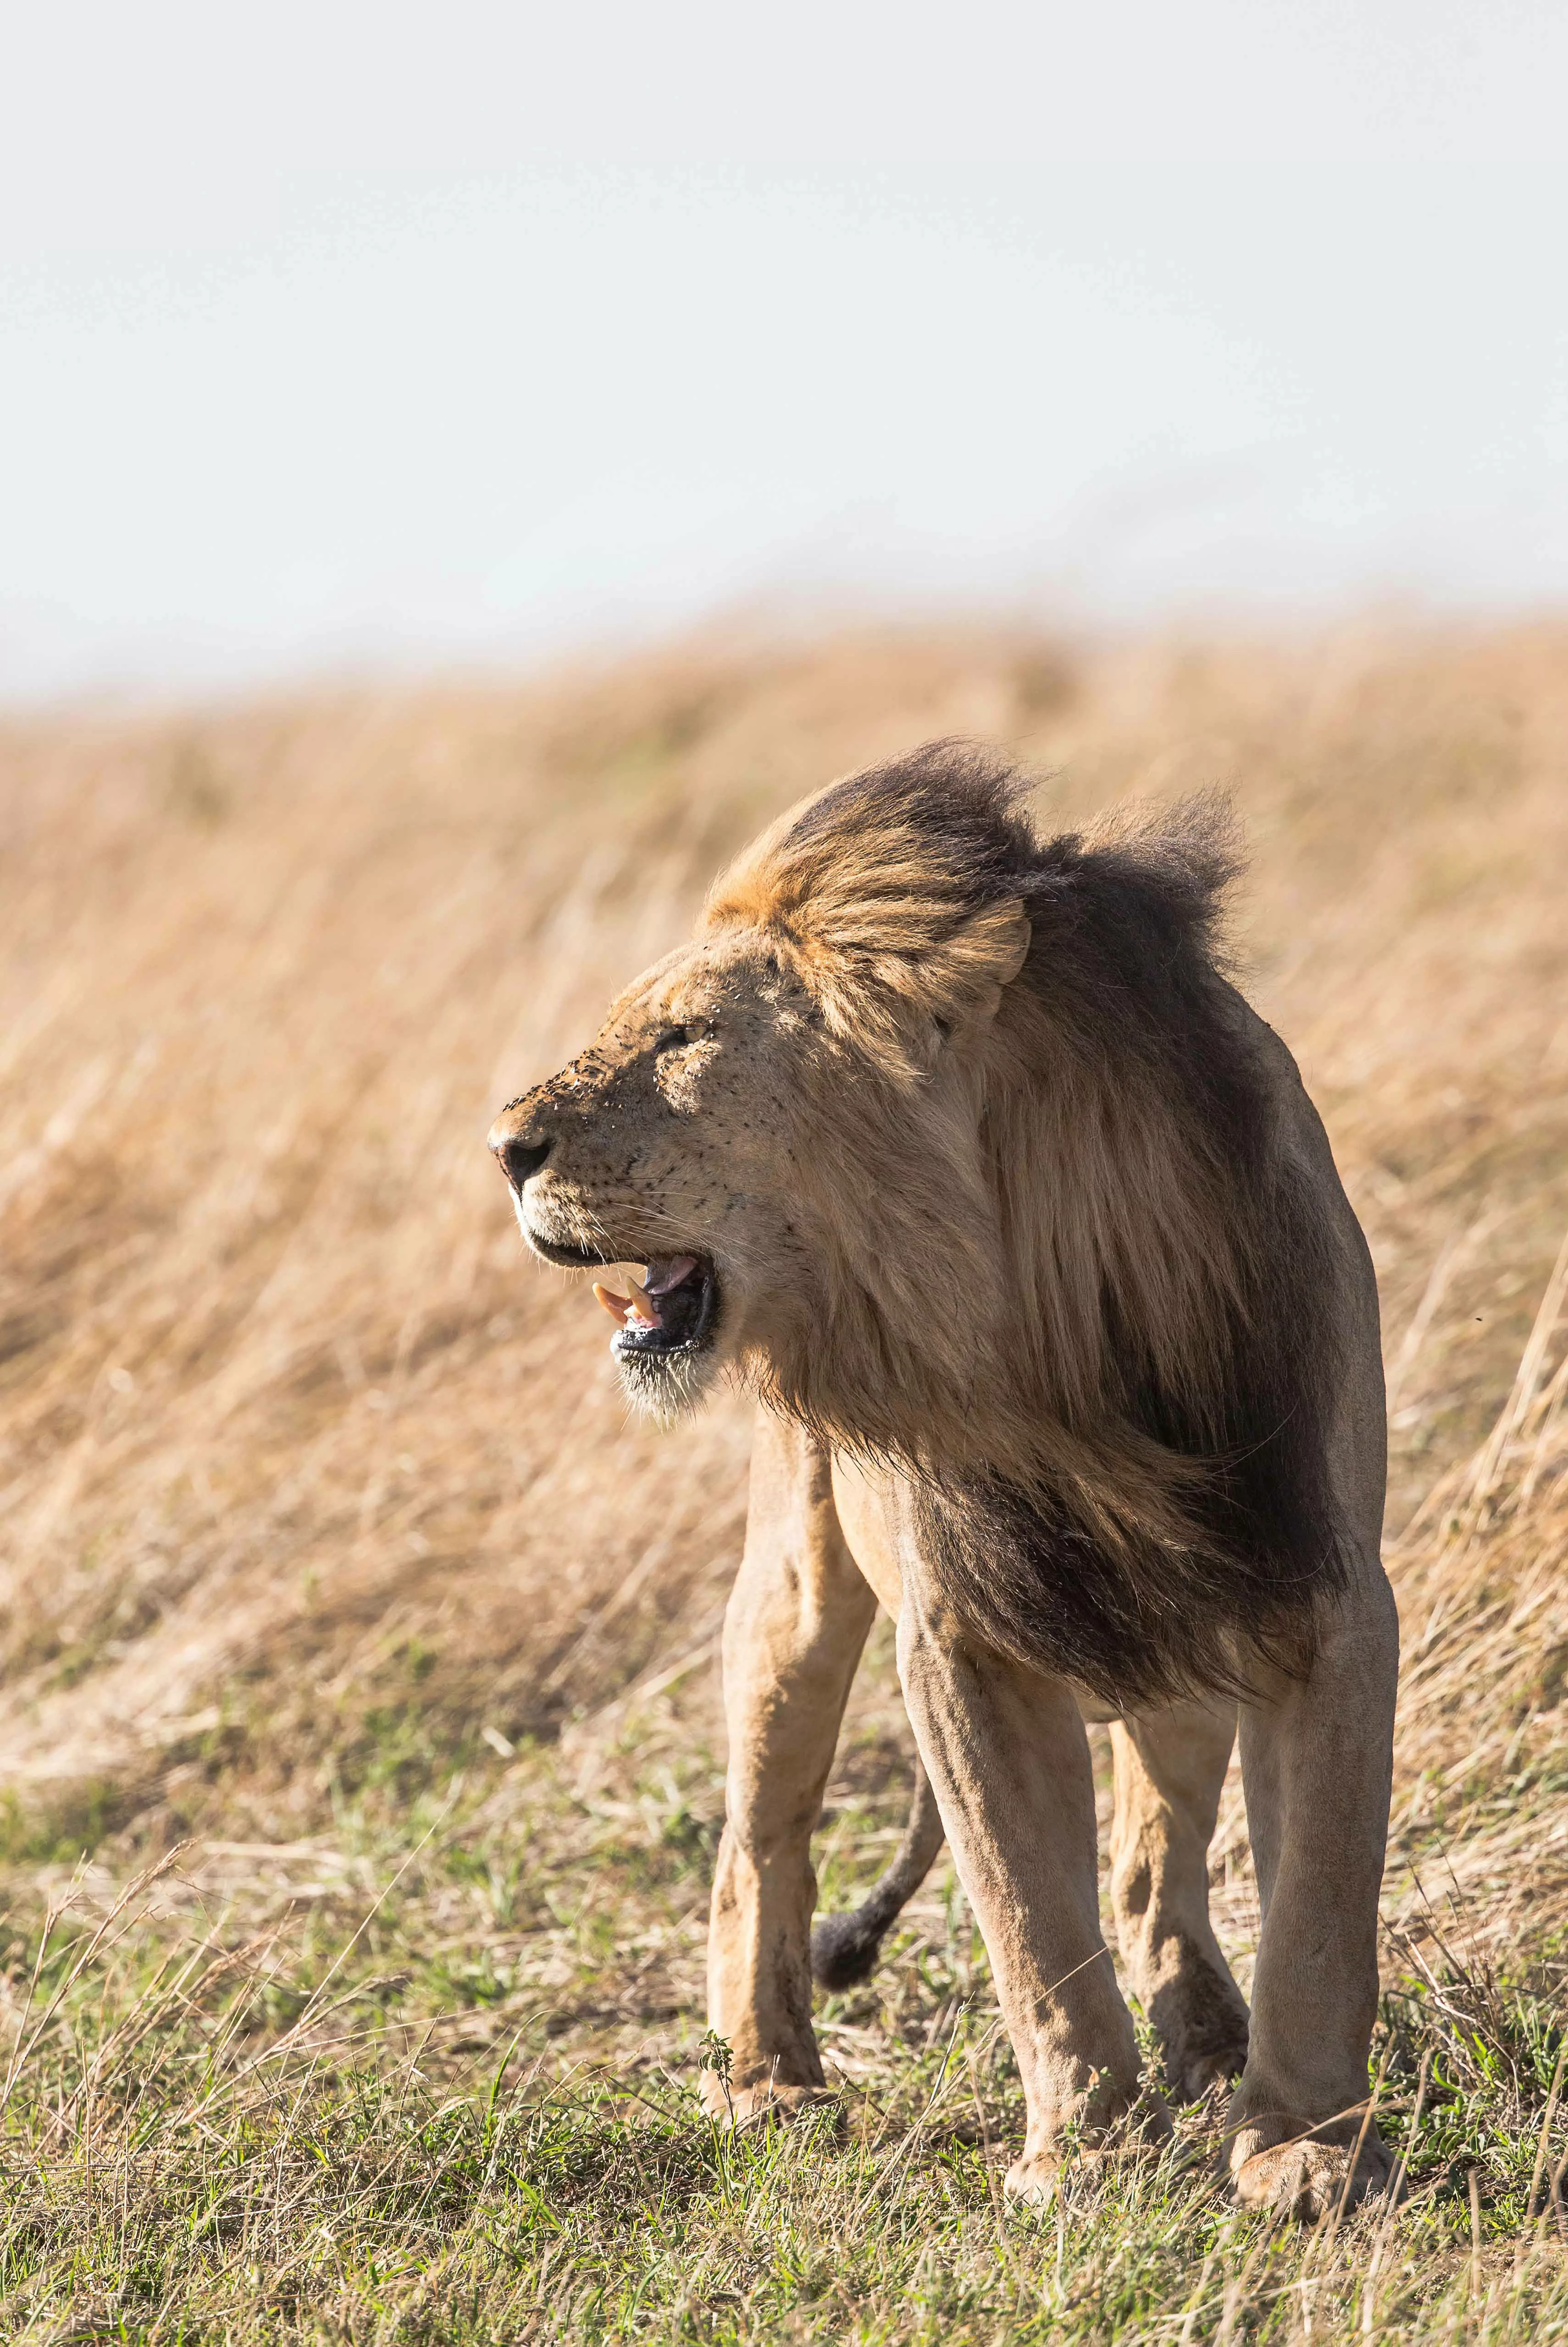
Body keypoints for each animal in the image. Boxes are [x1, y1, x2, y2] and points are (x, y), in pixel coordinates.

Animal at [486, 751, 1399, 2215]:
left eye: (683, 1038)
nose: (500, 1146)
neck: (1046, 1326)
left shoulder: (1312, 1585)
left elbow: (1318, 1899)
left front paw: (1303, 2149)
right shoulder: (962, 1634)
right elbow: (1029, 1915)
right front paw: (1083, 2156)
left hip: (1181, 1634)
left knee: (1150, 1855)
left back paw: (1204, 2027)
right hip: (796, 1588)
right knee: (758, 1839)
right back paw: (769, 2080)